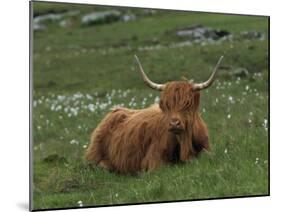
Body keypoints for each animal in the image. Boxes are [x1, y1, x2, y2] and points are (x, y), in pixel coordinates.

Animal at [85, 54, 223, 174]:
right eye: (165, 105)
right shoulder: (153, 160)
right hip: (95, 154)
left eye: (188, 104)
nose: (174, 124)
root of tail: (116, 110)